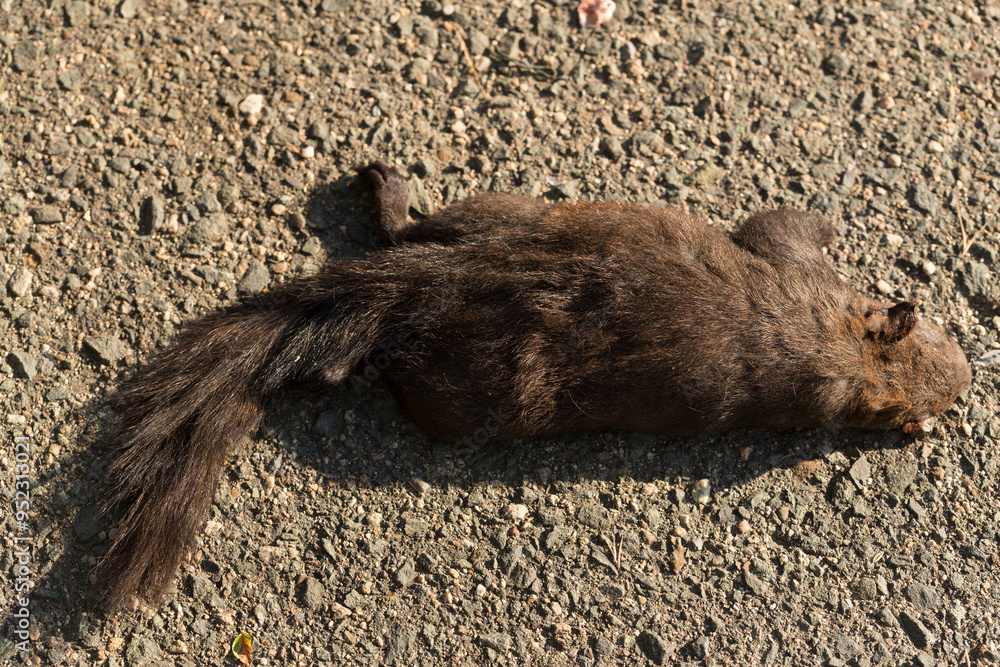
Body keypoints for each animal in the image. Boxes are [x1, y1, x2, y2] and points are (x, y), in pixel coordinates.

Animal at [96, 161, 972, 606]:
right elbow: (786, 223)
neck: (844, 344)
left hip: (491, 220)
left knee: (411, 229)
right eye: (941, 335)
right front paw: (833, 209)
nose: (969, 376)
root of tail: (444, 282)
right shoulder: (795, 272)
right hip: (475, 375)